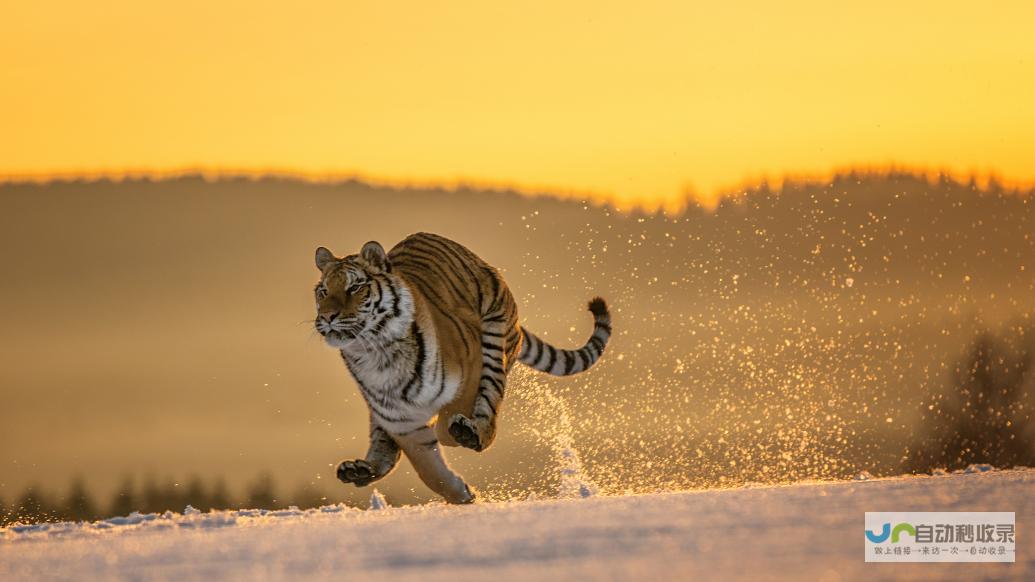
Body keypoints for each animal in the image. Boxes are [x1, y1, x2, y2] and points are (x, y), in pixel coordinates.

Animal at [310, 233, 608, 501]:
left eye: (354, 288)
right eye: (323, 291)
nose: (327, 316)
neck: (377, 352)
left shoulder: (470, 369)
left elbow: (448, 421)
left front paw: (456, 434)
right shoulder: (400, 419)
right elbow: (429, 470)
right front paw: (462, 495)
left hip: (494, 340)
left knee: (490, 415)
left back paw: (471, 433)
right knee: (383, 446)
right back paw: (359, 470)